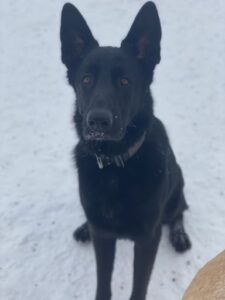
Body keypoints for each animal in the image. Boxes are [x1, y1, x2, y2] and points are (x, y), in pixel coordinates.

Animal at [60, 2, 192, 300]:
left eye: (124, 81)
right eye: (86, 79)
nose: (98, 122)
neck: (114, 166)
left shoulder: (147, 239)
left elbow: (139, 285)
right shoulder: (104, 237)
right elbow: (103, 282)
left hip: (177, 185)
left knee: (179, 210)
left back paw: (179, 235)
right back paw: (84, 227)